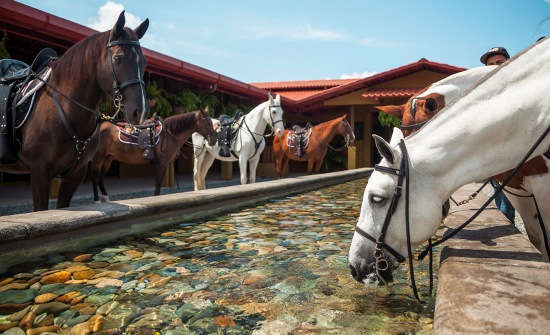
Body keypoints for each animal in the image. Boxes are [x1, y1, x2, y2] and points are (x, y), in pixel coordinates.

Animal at [0, 13, 150, 213]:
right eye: (118, 58)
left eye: (144, 62)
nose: (139, 111)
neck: (63, 109)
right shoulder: (40, 172)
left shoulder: (74, 175)